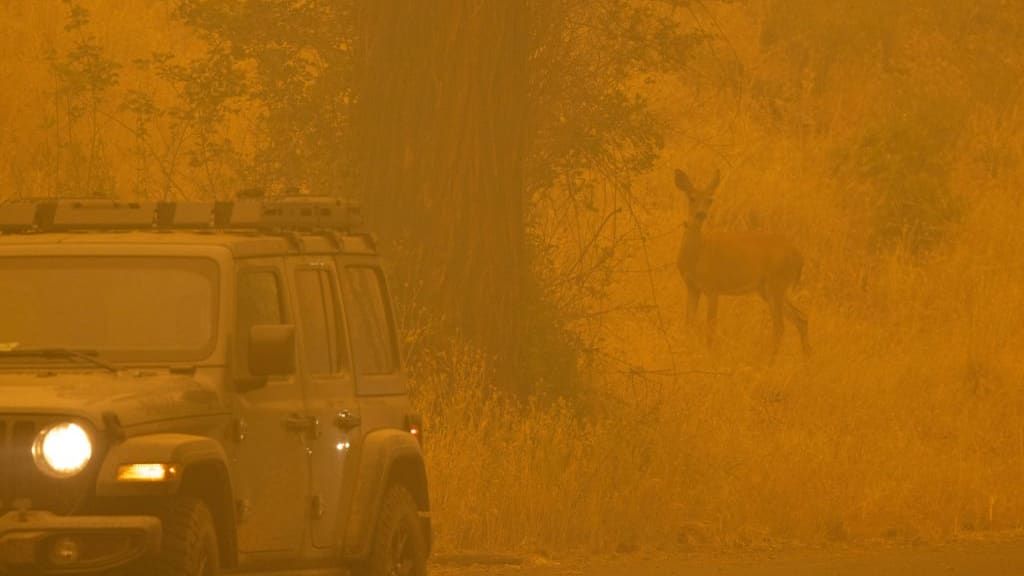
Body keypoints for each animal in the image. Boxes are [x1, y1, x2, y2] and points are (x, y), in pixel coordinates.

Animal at [675, 167, 811, 354]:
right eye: (691, 197)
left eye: (710, 200)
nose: (701, 214)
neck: (697, 254)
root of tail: (799, 257)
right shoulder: (692, 287)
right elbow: (688, 323)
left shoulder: (713, 286)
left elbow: (710, 327)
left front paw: (709, 354)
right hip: (768, 289)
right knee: (801, 318)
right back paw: (807, 360)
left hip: (776, 283)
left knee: (780, 326)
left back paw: (768, 360)